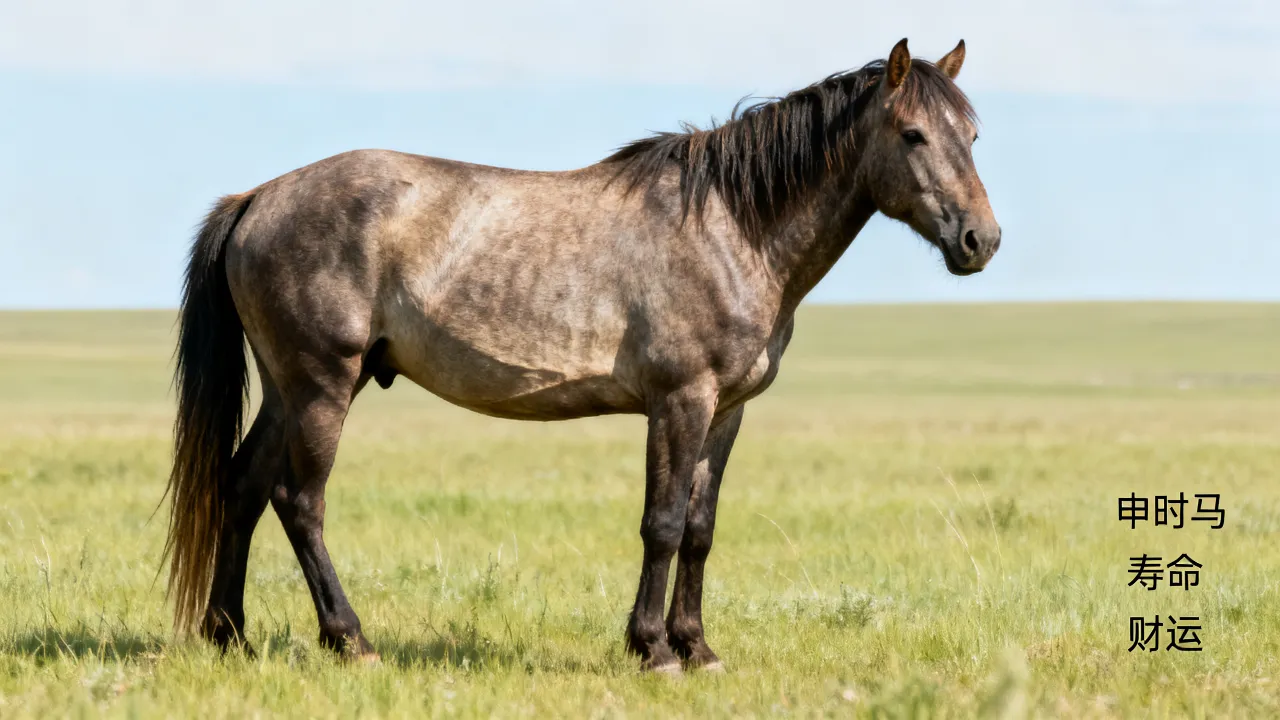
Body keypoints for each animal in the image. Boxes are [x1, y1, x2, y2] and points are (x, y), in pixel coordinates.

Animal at [163, 38, 999, 674]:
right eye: (914, 136)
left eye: (973, 136)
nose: (980, 241)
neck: (732, 227)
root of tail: (256, 198)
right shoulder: (680, 400)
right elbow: (663, 522)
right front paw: (653, 650)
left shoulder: (726, 411)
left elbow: (701, 528)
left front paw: (699, 648)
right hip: (323, 384)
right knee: (299, 501)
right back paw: (351, 641)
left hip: (288, 386)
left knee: (242, 486)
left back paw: (228, 635)